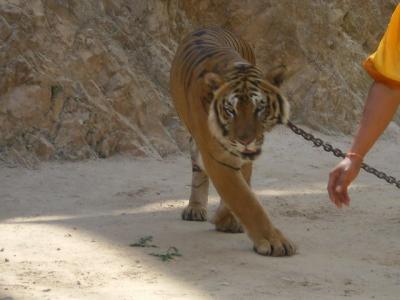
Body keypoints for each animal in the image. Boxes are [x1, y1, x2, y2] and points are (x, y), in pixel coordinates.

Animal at [170, 27, 296, 256]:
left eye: (260, 108)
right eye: (231, 110)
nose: (246, 140)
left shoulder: (242, 157)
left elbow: (241, 189)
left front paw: (226, 220)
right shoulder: (216, 157)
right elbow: (244, 199)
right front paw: (275, 242)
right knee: (197, 168)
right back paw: (195, 208)